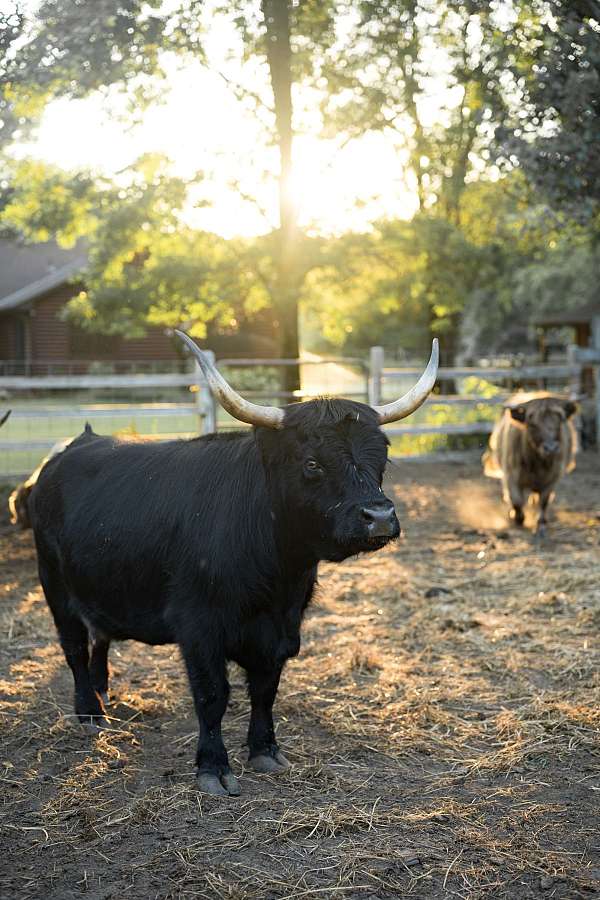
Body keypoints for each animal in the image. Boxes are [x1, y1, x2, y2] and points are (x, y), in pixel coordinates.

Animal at [30, 334, 438, 800]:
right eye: (312, 463)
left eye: (382, 457)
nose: (380, 515)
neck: (278, 576)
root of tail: (71, 448)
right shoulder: (198, 625)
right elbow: (213, 695)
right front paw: (214, 767)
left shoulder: (283, 627)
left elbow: (265, 689)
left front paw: (265, 750)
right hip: (55, 586)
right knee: (74, 647)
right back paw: (89, 712)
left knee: (99, 639)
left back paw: (102, 694)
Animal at [482, 392, 576, 536]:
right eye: (532, 424)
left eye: (559, 421)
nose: (551, 448)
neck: (537, 463)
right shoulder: (511, 476)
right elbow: (516, 500)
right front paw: (517, 518)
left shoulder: (552, 478)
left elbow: (544, 501)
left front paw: (541, 524)